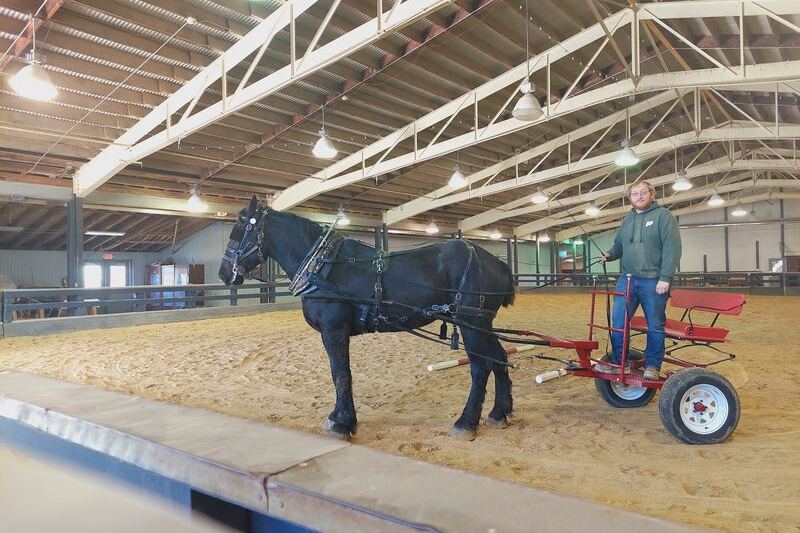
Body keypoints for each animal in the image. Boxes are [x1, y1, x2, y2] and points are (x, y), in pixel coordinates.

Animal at [219, 196, 516, 441]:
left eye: (240, 227)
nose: (223, 273)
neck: (323, 267)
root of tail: (496, 262)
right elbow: (340, 375)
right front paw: (340, 418)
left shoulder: (334, 331)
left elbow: (340, 375)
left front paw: (342, 423)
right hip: (483, 323)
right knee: (499, 359)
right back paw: (498, 414)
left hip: (472, 323)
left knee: (480, 368)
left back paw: (466, 423)